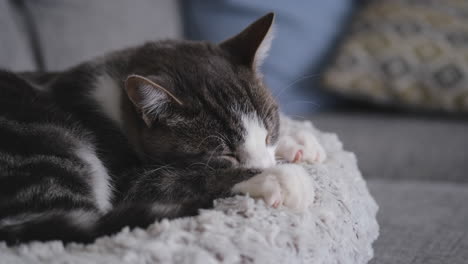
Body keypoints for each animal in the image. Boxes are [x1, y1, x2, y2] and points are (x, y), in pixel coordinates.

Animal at [0, 11, 326, 243]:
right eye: (226, 155)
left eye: (270, 132)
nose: (267, 164)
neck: (116, 101)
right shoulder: (121, 170)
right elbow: (167, 180)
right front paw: (278, 177)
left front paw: (297, 141)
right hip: (45, 137)